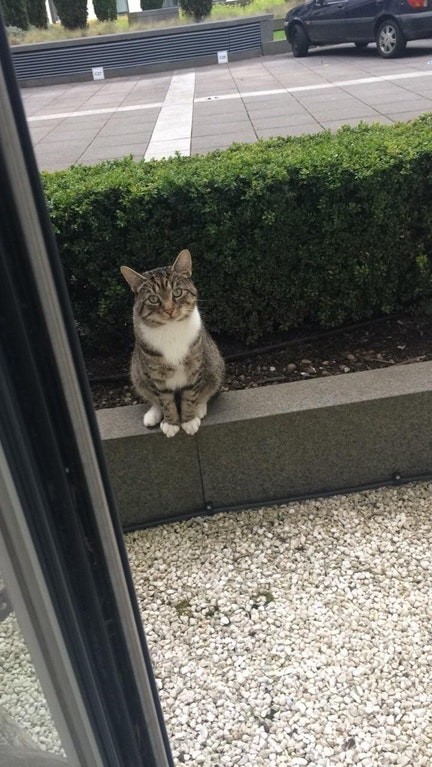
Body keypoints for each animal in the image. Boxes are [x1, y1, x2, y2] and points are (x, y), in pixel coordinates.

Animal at [120, 252, 224, 438]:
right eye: (153, 299)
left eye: (177, 292)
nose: (169, 310)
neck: (170, 329)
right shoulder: (154, 373)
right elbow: (164, 399)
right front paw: (171, 423)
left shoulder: (194, 366)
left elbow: (190, 394)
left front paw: (189, 420)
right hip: (137, 373)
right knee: (152, 396)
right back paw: (153, 414)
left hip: (215, 364)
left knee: (208, 388)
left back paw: (200, 407)